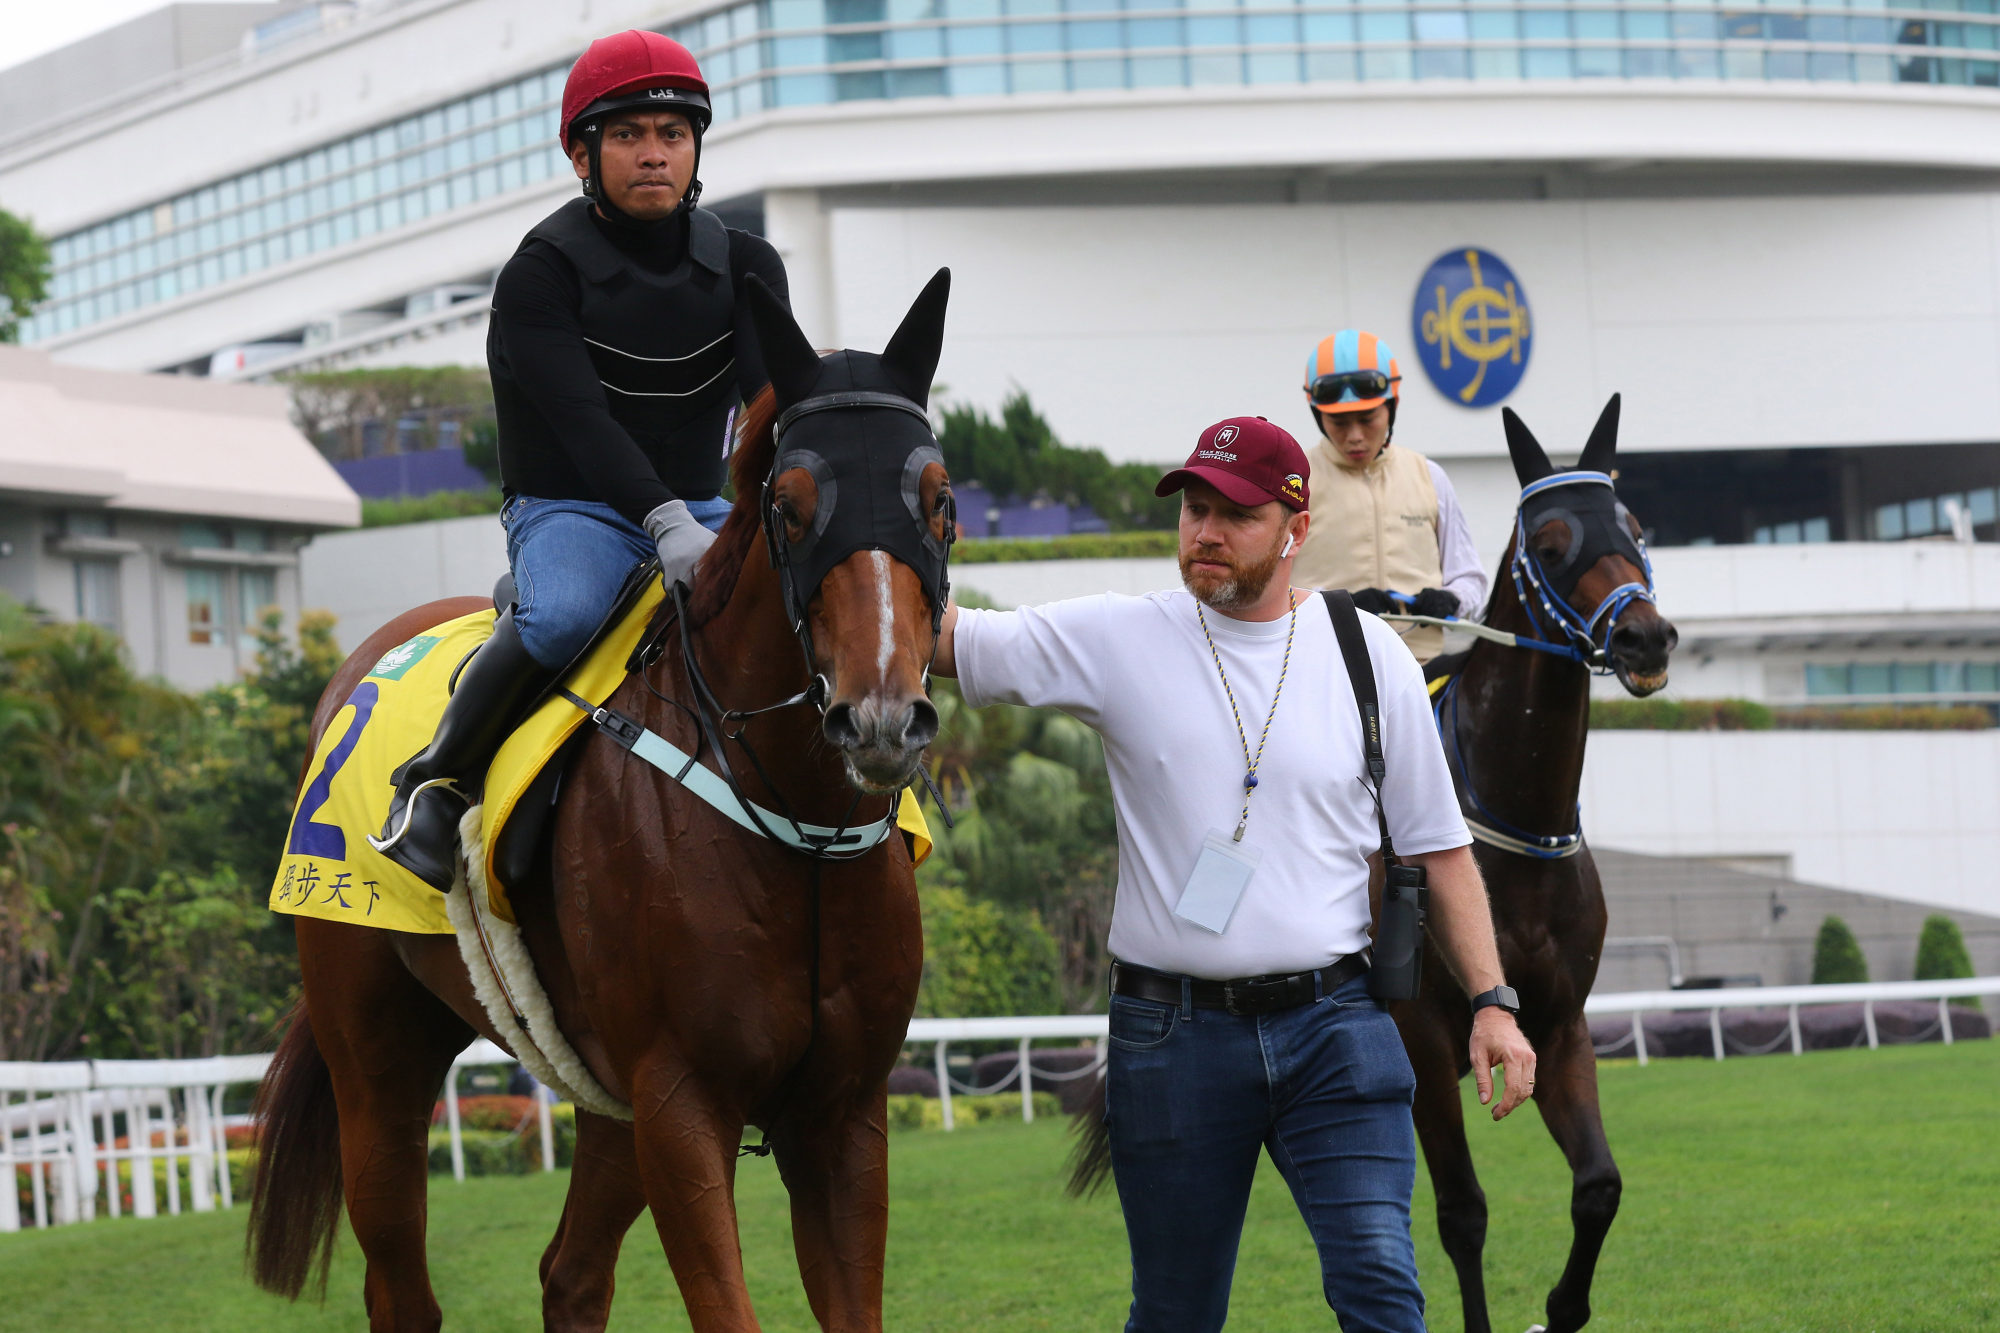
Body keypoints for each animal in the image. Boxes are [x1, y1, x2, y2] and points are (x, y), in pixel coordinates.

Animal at [246, 270, 964, 1328]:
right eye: (791, 507)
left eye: (939, 499)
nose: (879, 718)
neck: (794, 831)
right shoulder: (680, 1099)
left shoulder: (841, 1113)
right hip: (375, 1059)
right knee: (401, 1282)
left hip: (598, 1089)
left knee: (570, 1274)